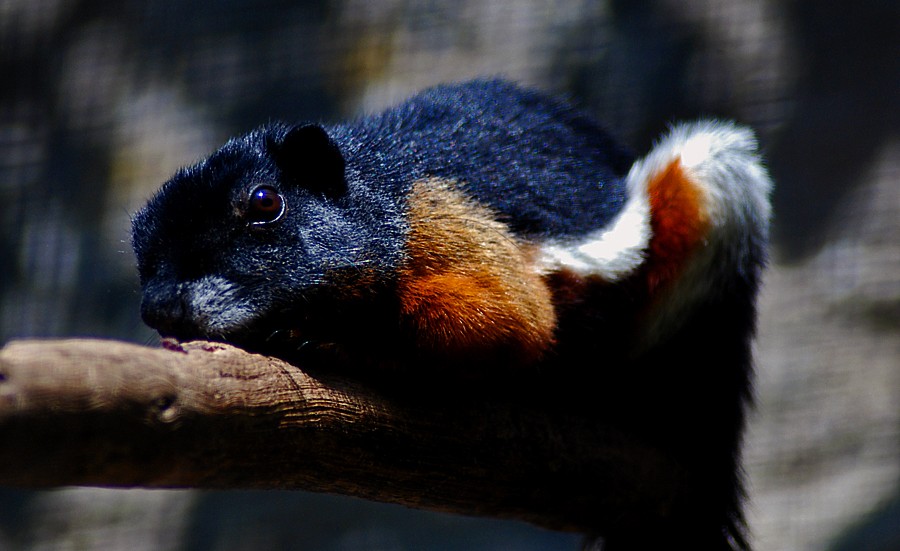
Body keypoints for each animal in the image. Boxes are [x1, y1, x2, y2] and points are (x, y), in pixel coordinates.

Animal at [131, 79, 771, 550]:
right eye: (145, 257)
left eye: (264, 204)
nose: (163, 304)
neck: (377, 192)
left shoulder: (442, 220)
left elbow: (512, 320)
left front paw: (333, 341)